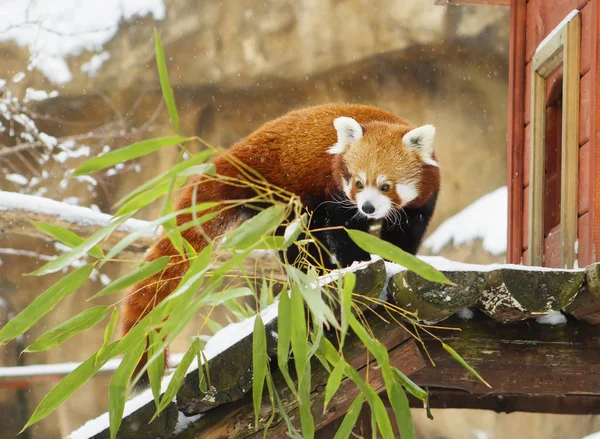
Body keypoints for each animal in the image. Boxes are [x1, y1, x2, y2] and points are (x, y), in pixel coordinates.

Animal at [122, 105, 440, 384]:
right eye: (359, 183)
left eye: (386, 186)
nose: (368, 207)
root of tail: (242, 150)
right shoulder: (334, 191)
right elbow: (340, 231)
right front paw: (357, 261)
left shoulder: (419, 205)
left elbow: (406, 235)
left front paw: (398, 259)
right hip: (283, 195)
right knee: (299, 241)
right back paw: (314, 272)